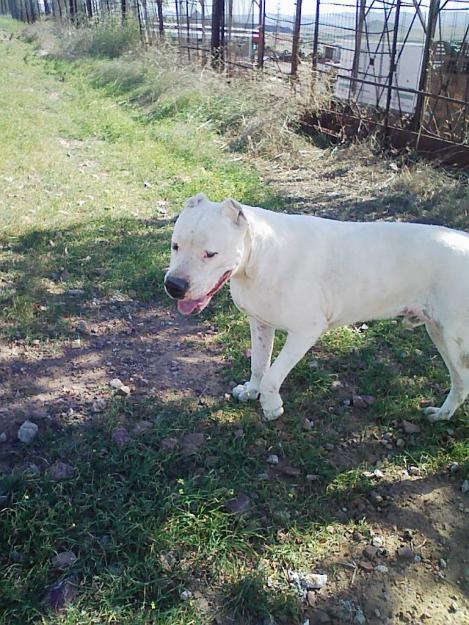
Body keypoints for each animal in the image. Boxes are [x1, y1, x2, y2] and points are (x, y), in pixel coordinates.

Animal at [164, 193, 468, 422]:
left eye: (210, 254)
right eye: (175, 246)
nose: (174, 285)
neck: (260, 256)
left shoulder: (306, 331)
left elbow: (272, 375)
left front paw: (271, 405)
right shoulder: (260, 323)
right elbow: (259, 365)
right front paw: (251, 391)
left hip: (456, 341)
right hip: (438, 333)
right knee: (460, 382)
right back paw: (442, 414)